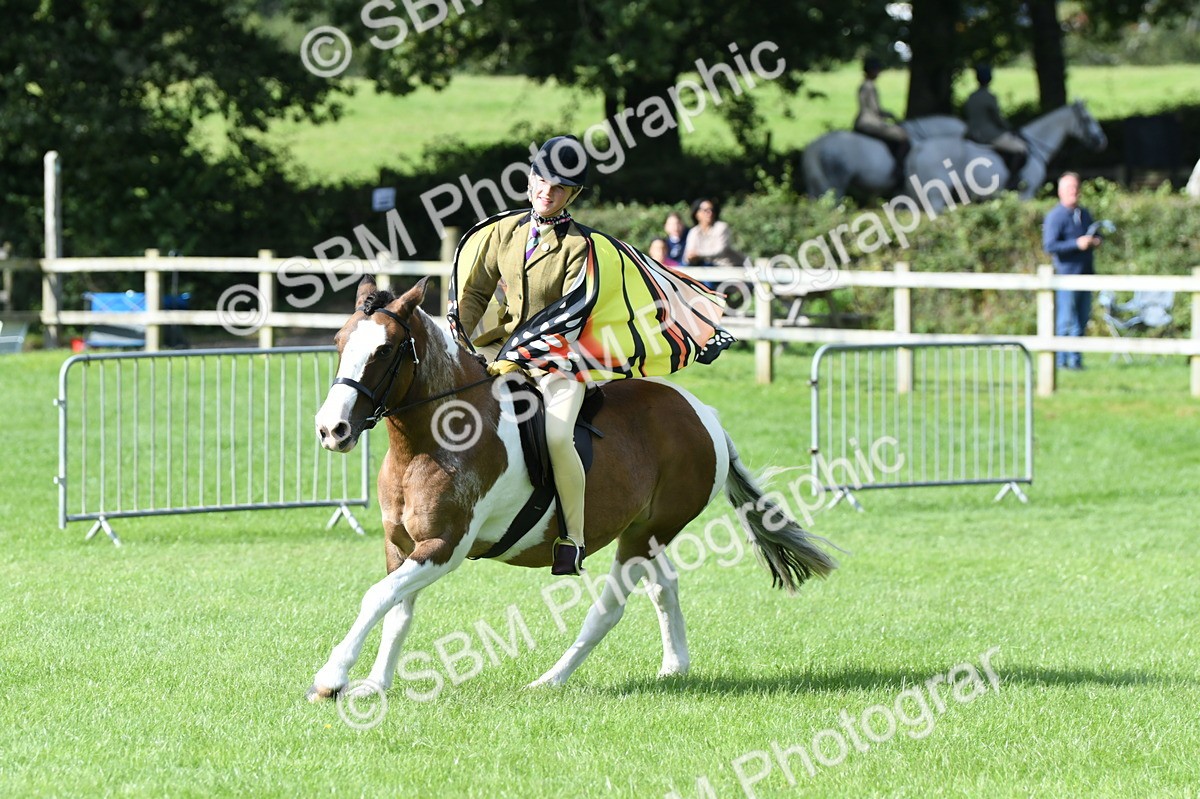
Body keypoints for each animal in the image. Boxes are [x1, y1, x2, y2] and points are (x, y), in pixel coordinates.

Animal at [306, 275, 838, 700]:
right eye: (339, 341)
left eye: (385, 350)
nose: (331, 429)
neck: (428, 439)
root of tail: (701, 413)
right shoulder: (401, 545)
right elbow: (395, 609)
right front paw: (375, 683)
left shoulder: (444, 547)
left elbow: (376, 597)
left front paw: (332, 678)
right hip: (645, 532)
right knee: (664, 586)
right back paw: (674, 667)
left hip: (646, 535)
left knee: (609, 609)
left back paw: (550, 680)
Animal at [904, 100, 1108, 210]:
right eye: (1087, 119)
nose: (1102, 142)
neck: (1036, 144)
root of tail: (920, 146)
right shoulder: (1027, 193)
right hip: (936, 195)